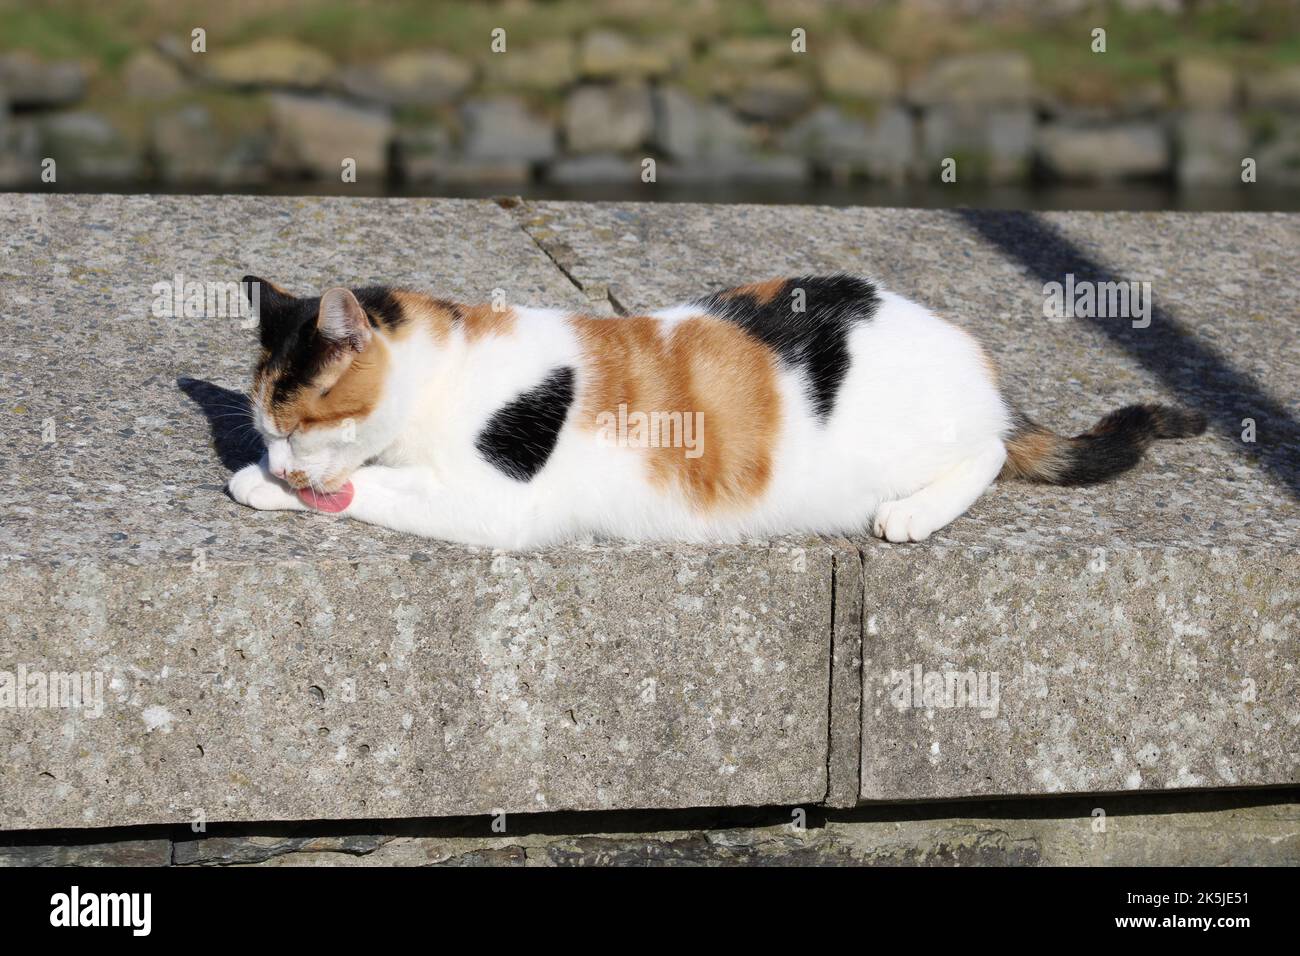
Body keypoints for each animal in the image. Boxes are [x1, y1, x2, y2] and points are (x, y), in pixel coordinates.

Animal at [226, 273, 1206, 548]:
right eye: (267, 426)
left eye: (296, 424)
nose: (276, 457)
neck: (445, 372)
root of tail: (974, 356)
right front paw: (270, 482)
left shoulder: (497, 506)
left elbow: (369, 492)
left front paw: (268, 489)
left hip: (919, 443)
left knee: (992, 453)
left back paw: (915, 513)